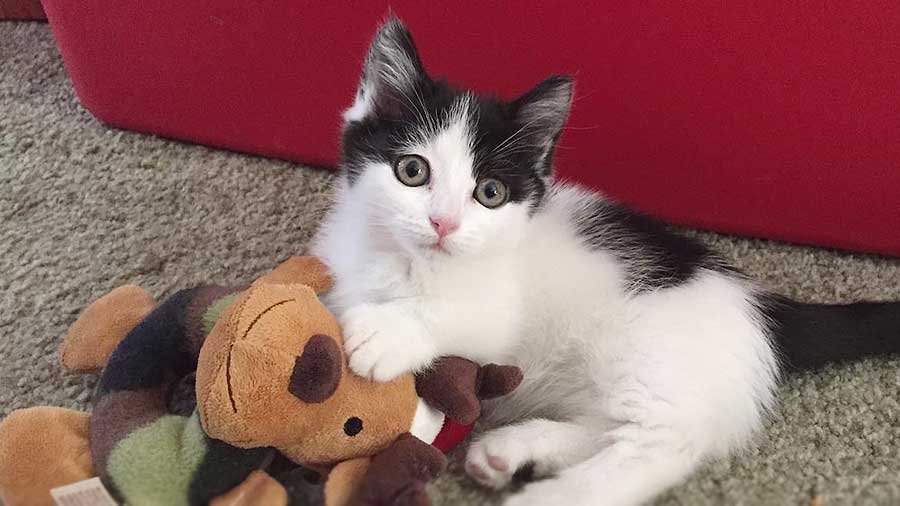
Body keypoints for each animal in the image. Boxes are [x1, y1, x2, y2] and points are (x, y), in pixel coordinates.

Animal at [312, 19, 900, 506]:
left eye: (490, 193)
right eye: (412, 171)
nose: (444, 223)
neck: (403, 261)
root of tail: (763, 305)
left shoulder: (501, 307)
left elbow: (470, 317)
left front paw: (386, 334)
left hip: (652, 352)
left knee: (658, 443)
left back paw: (547, 496)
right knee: (605, 424)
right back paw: (512, 450)